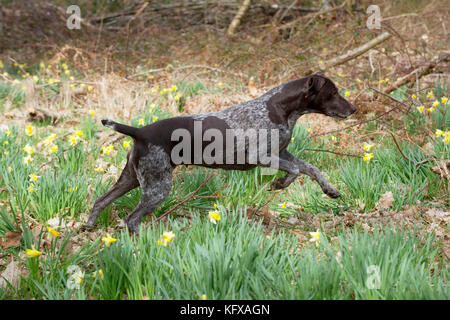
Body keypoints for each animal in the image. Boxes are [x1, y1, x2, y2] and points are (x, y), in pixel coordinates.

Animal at [86, 72, 356, 232]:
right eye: (333, 93)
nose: (353, 109)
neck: (279, 108)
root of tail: (140, 131)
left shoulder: (282, 153)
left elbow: (311, 168)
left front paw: (330, 190)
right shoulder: (261, 156)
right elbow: (296, 171)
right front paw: (279, 184)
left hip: (132, 178)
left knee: (100, 201)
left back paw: (89, 227)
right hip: (157, 187)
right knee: (132, 218)